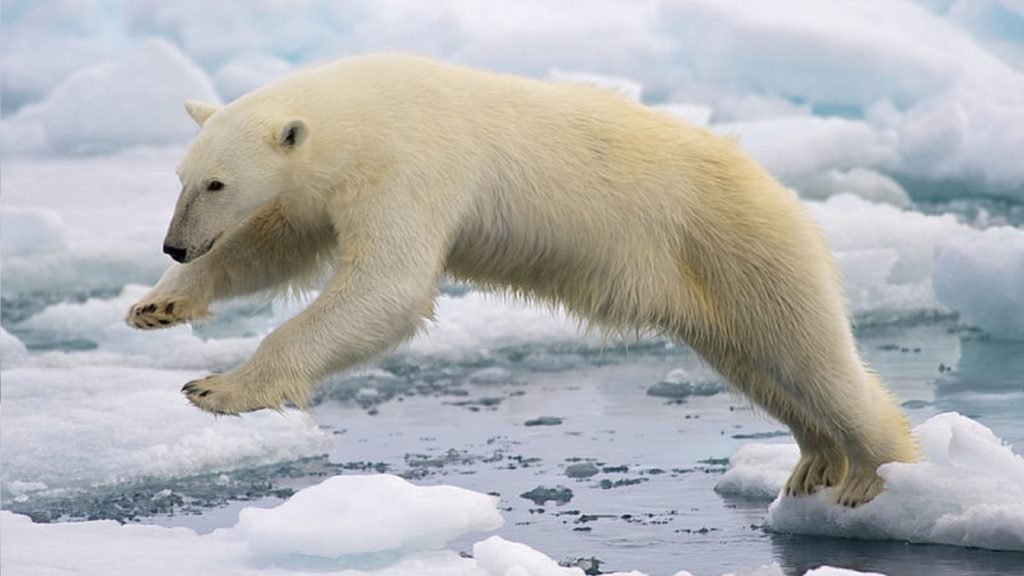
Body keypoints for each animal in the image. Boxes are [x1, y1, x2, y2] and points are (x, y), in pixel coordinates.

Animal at [128, 53, 921, 502]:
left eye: (217, 183)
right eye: (182, 176)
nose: (174, 245)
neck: (365, 111)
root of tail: (780, 190)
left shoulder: (413, 165)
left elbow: (387, 286)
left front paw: (217, 388)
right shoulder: (328, 187)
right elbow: (278, 244)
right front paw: (158, 306)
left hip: (741, 245)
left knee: (810, 356)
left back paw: (873, 476)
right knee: (759, 366)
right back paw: (814, 462)